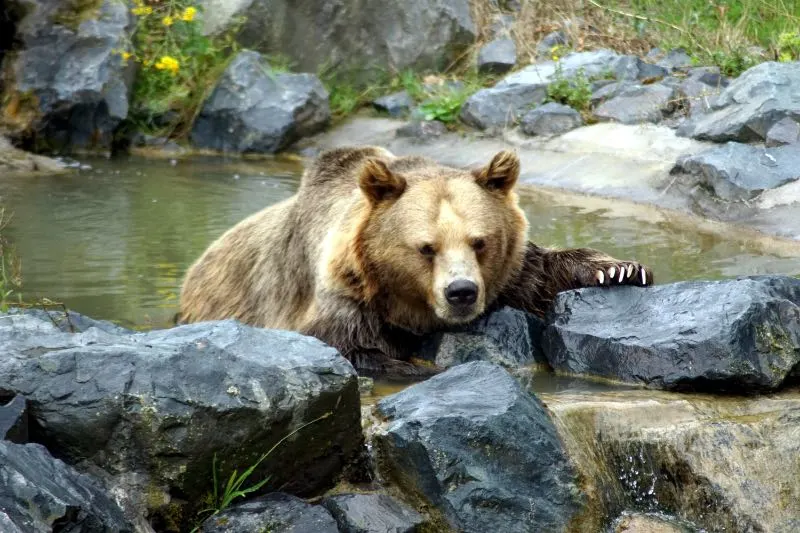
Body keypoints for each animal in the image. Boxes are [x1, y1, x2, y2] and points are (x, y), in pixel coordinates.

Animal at [178, 147, 652, 374]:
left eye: (479, 242)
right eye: (427, 247)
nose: (461, 292)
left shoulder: (508, 275)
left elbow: (539, 274)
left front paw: (618, 269)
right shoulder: (343, 301)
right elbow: (343, 347)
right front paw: (403, 364)